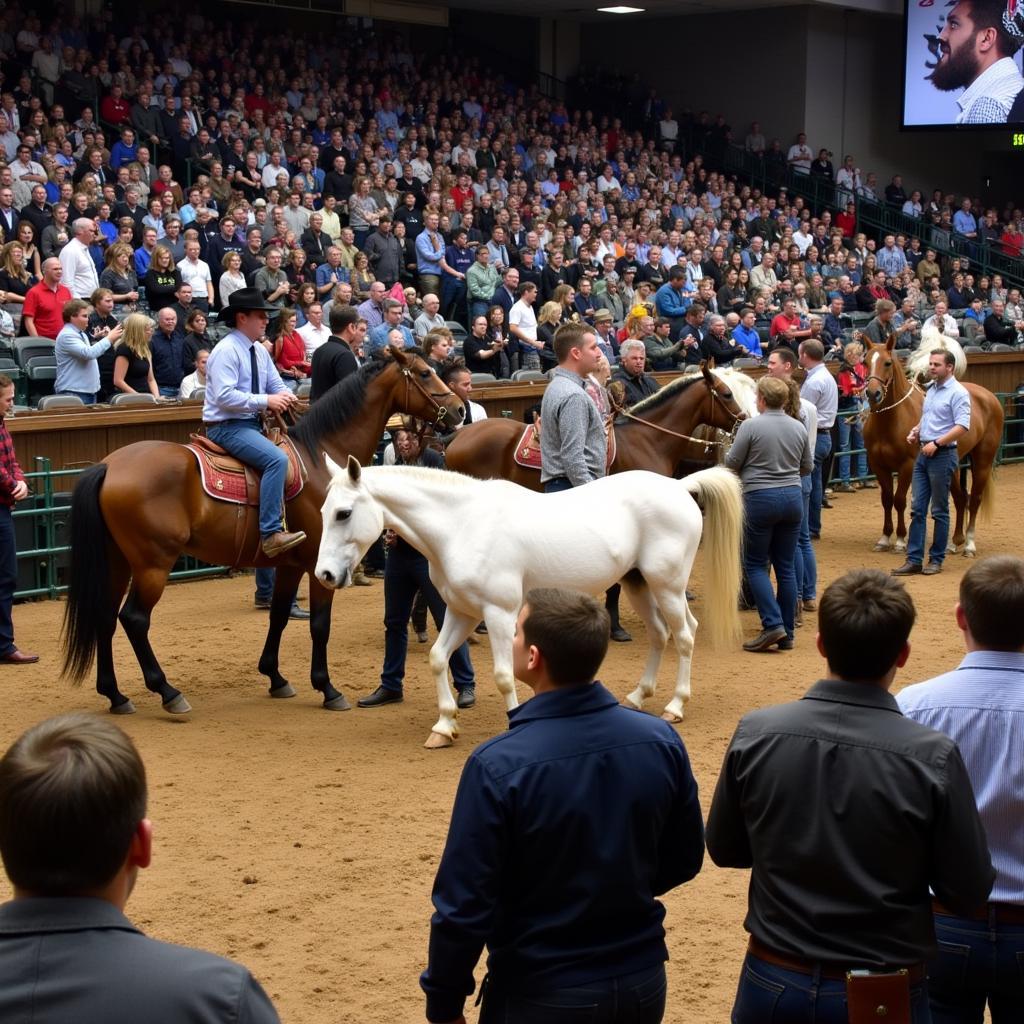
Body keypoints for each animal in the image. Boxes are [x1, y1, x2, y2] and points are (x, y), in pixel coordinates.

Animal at [61, 348, 462, 716]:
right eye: (425, 373)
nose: (459, 410)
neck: (322, 458)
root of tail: (108, 466)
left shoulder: (289, 564)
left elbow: (279, 616)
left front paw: (275, 677)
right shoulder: (320, 566)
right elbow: (319, 625)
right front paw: (327, 688)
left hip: (117, 563)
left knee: (105, 619)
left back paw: (116, 696)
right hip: (152, 565)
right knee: (134, 620)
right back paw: (168, 692)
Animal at [315, 460, 741, 749]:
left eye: (344, 513)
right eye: (323, 512)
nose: (325, 575)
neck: (462, 525)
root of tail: (679, 486)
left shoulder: (499, 614)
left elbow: (504, 675)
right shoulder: (462, 612)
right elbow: (438, 658)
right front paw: (444, 726)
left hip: (667, 585)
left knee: (684, 636)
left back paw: (676, 706)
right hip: (639, 585)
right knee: (659, 634)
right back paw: (638, 697)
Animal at [860, 335, 1003, 557]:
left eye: (887, 363)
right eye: (865, 362)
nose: (872, 393)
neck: (890, 420)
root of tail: (989, 396)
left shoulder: (907, 466)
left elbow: (899, 500)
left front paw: (900, 540)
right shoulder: (878, 466)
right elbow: (887, 499)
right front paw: (884, 538)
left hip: (983, 462)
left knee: (975, 499)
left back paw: (969, 544)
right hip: (952, 467)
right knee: (960, 498)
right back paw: (954, 542)